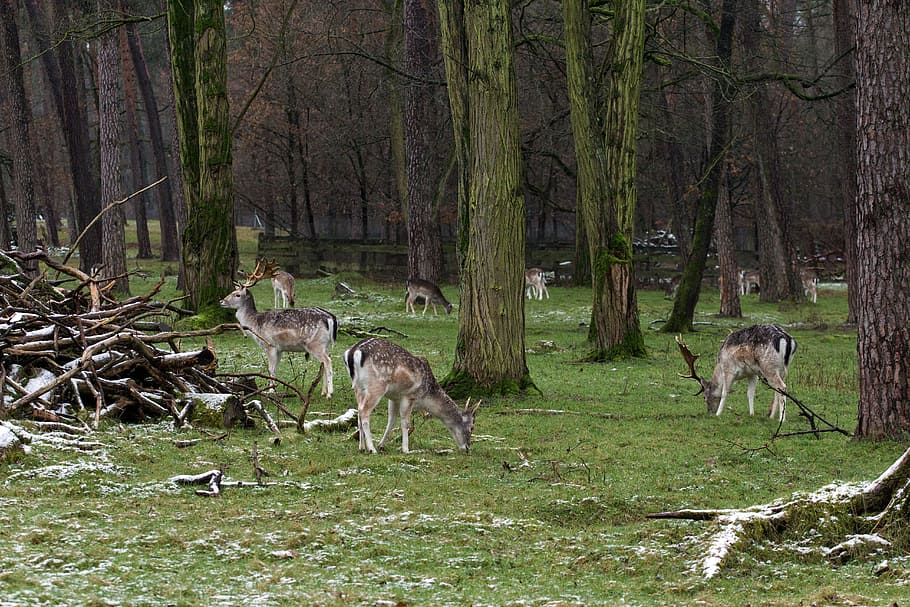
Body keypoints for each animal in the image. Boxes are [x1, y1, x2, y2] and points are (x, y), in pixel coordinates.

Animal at [220, 259, 337, 397]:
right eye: (232, 292)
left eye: (237, 295)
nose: (221, 301)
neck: (255, 324)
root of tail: (330, 318)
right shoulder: (280, 348)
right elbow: (275, 368)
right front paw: (273, 387)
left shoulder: (270, 344)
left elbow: (270, 368)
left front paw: (270, 390)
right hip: (325, 344)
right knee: (324, 363)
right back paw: (323, 392)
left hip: (315, 343)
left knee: (328, 361)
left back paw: (330, 393)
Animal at [342, 337, 478, 454]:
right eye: (472, 427)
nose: (467, 448)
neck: (425, 396)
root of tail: (353, 352)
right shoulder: (409, 395)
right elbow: (405, 422)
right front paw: (406, 449)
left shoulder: (394, 398)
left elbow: (391, 420)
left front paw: (381, 444)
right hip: (376, 386)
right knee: (364, 411)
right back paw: (371, 449)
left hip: (358, 387)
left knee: (359, 411)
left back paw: (361, 447)